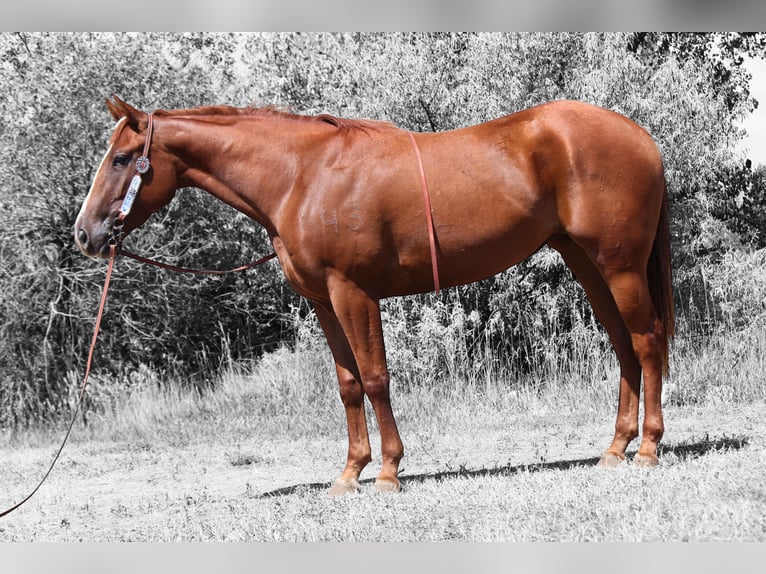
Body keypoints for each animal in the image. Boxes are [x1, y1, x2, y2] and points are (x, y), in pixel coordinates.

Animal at [75, 96, 674, 495]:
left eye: (122, 159)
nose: (84, 235)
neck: (302, 176)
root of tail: (642, 137)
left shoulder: (353, 291)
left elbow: (376, 377)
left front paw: (387, 471)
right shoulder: (323, 300)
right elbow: (348, 384)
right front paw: (349, 473)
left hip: (619, 266)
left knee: (646, 342)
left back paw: (647, 448)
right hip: (586, 263)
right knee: (624, 346)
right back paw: (615, 448)